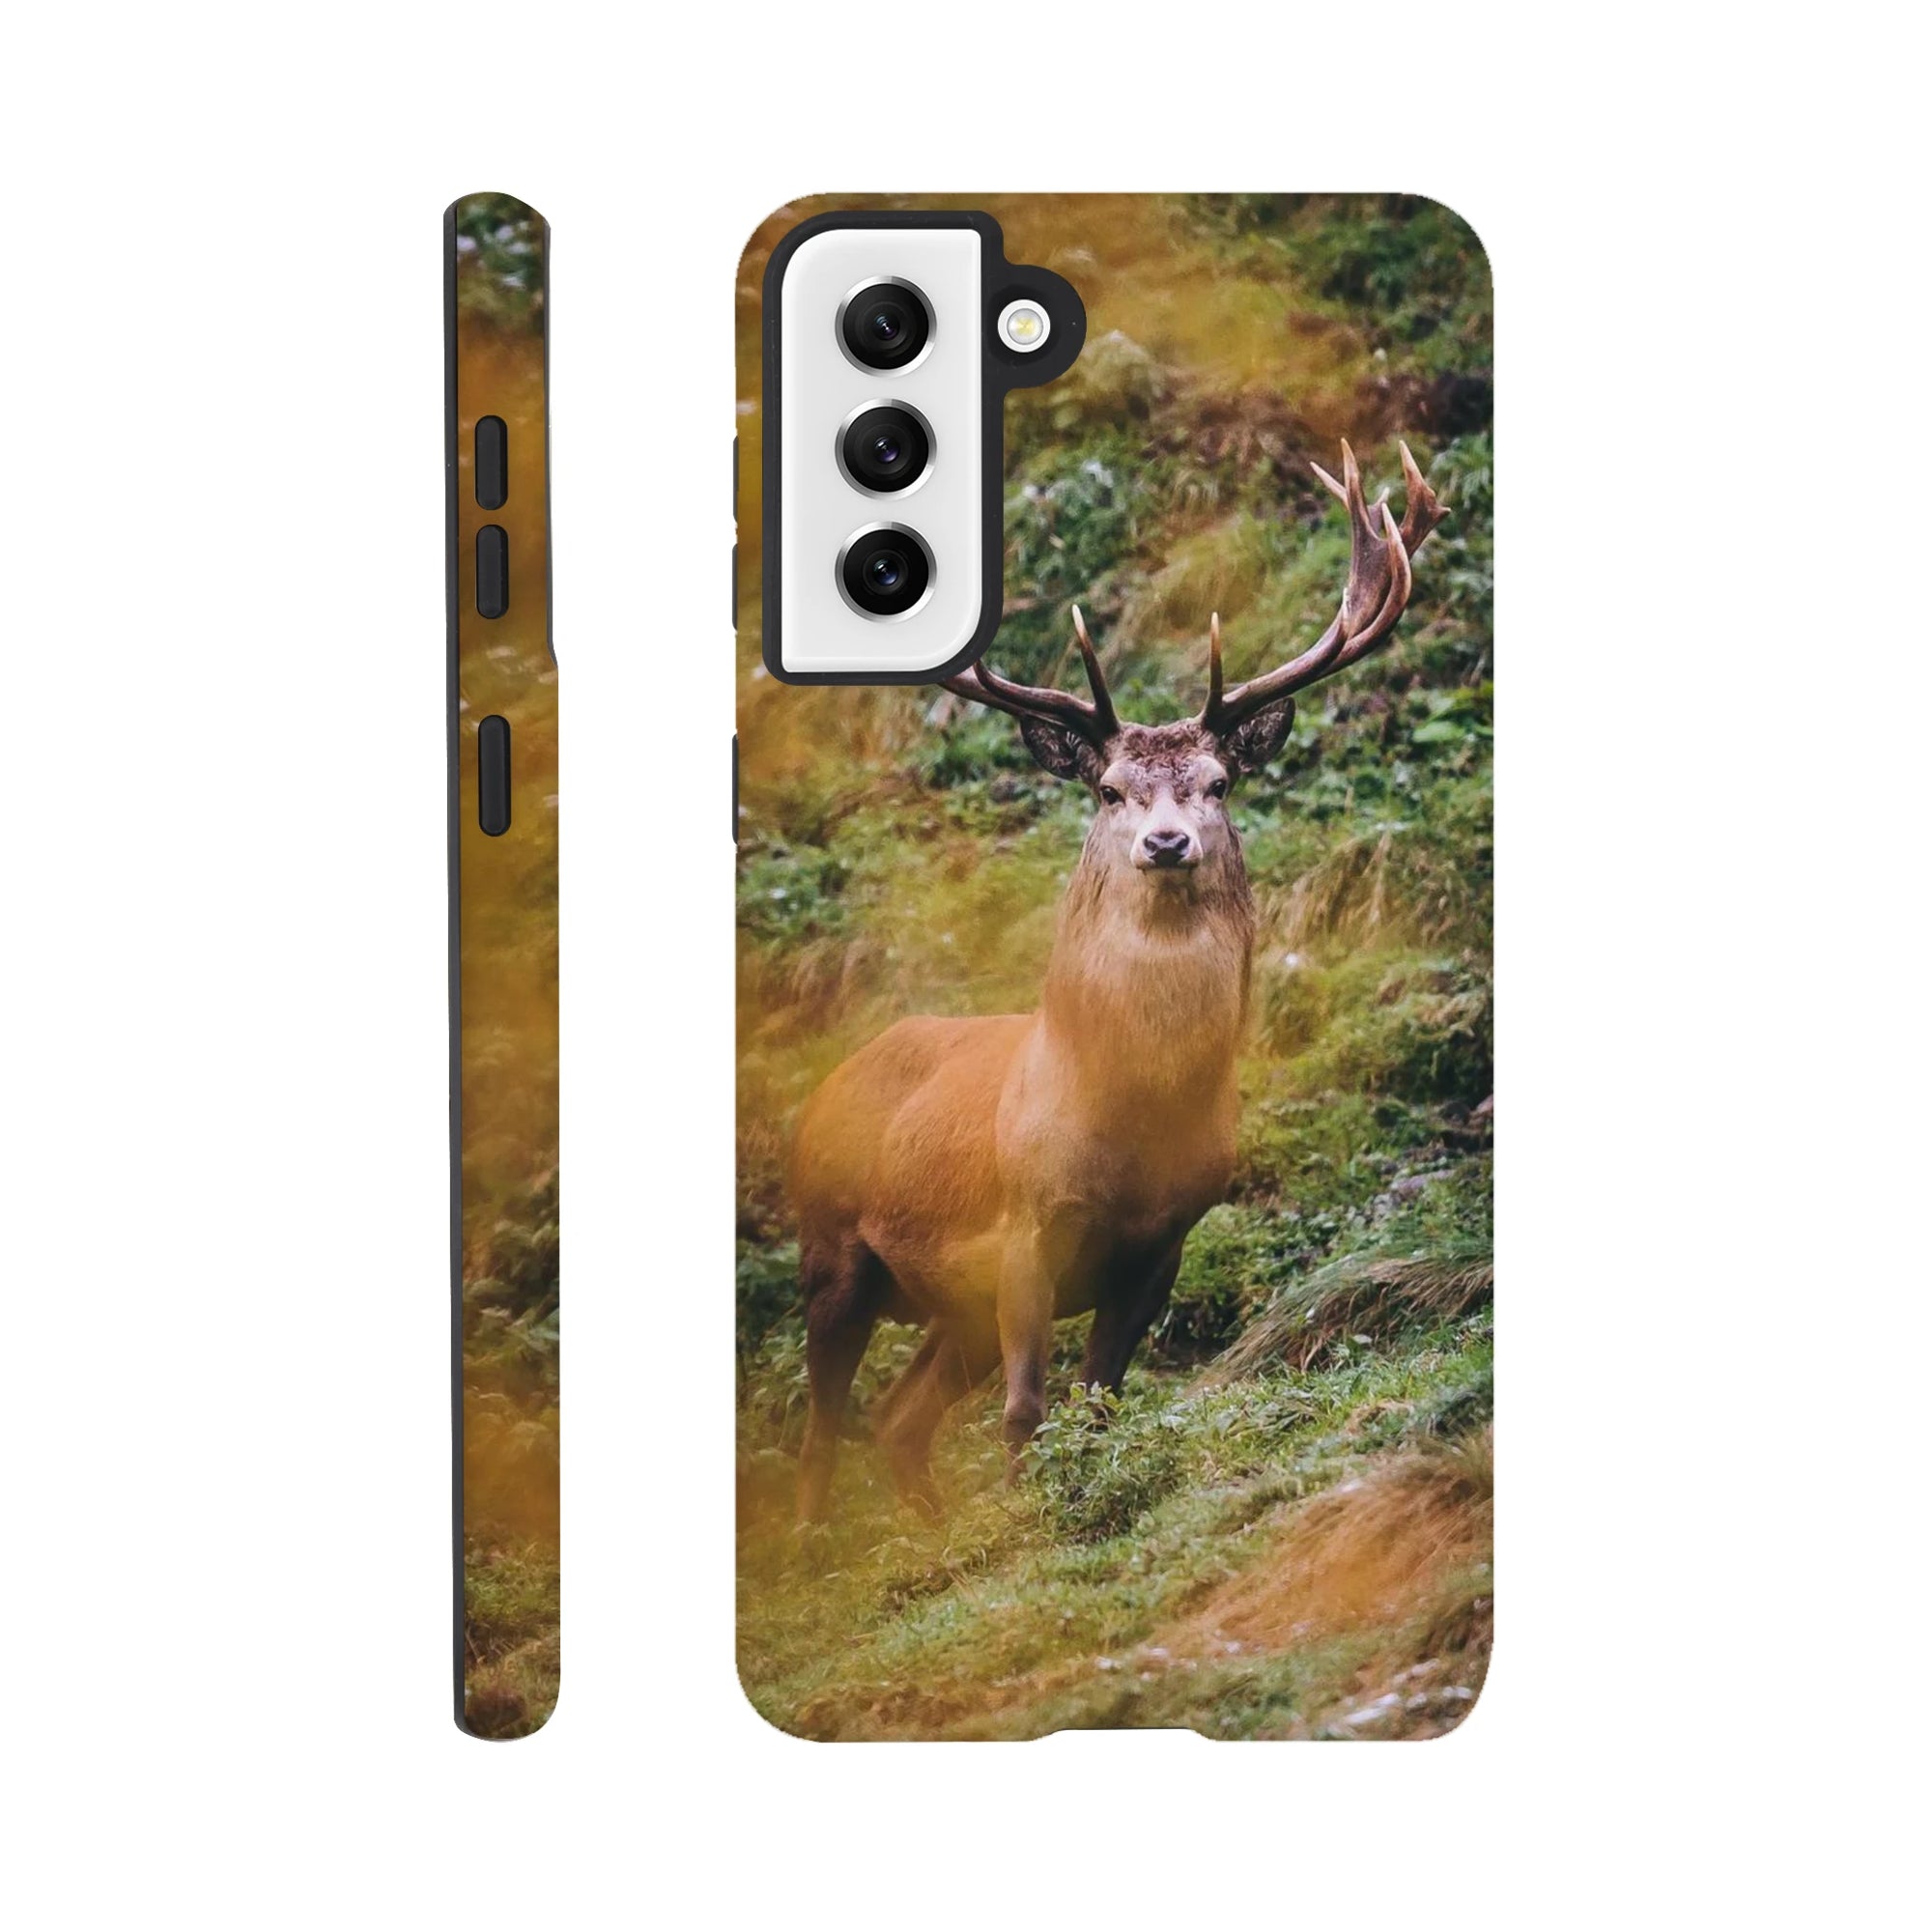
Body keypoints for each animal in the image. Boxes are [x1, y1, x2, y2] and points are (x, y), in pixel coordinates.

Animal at [789, 441, 1446, 1523]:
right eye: (1107, 790)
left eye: (1217, 781)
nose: (1167, 840)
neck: (1126, 1123)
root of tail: (827, 1084)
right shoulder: (1026, 1221)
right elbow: (1027, 1409)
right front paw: (1026, 1529)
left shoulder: (1163, 1243)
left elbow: (1096, 1402)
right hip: (833, 1242)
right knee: (820, 1420)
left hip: (944, 1309)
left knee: (895, 1415)